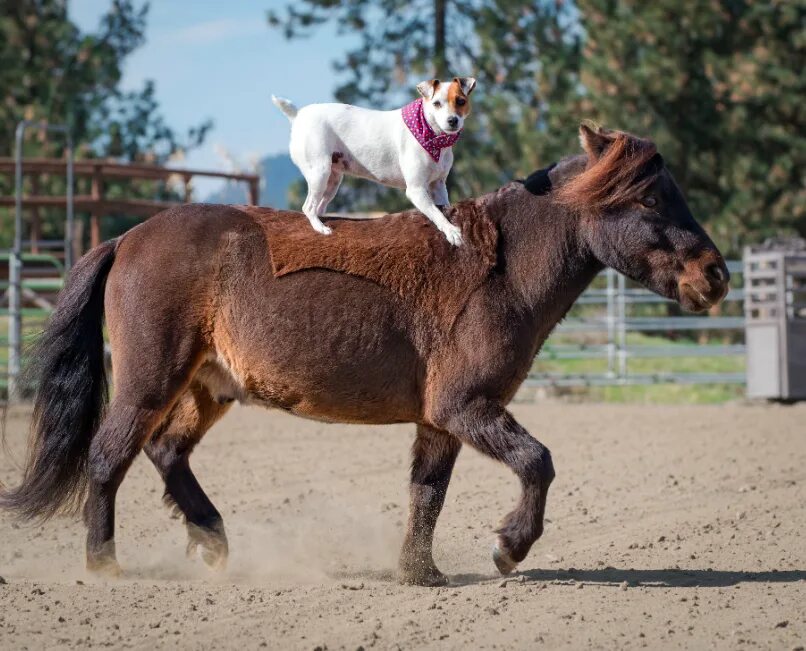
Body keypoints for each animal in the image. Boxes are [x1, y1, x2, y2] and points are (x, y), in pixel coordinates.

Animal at [274, 76, 476, 244]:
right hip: (319, 173)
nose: (452, 120)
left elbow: (444, 208)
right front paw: (452, 232)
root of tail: (298, 115)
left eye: (461, 101)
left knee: (319, 206)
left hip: (332, 181)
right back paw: (320, 228)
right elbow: (436, 213)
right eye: (436, 103)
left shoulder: (438, 185)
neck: (433, 136)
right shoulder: (417, 189)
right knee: (308, 207)